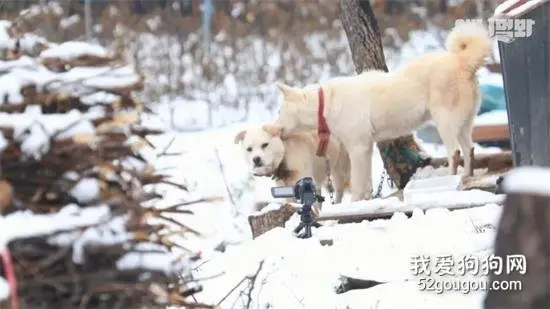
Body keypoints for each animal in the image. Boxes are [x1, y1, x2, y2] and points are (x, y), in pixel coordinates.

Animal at [276, 21, 496, 200]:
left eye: (279, 112)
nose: (275, 128)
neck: (324, 103)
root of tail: (462, 62)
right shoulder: (366, 147)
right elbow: (366, 183)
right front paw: (367, 199)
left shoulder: (357, 148)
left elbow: (358, 183)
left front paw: (356, 202)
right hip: (464, 122)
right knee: (469, 148)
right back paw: (466, 176)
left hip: (444, 121)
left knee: (454, 152)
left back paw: (449, 180)